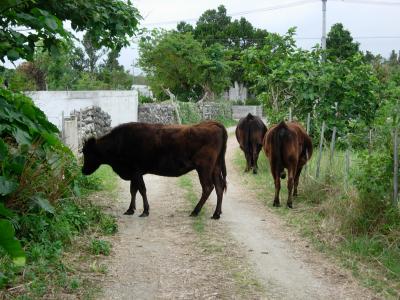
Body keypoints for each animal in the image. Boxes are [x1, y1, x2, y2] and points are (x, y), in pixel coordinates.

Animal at [80, 120, 228, 219]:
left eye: (87, 152)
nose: (83, 170)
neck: (119, 143)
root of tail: (212, 124)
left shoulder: (136, 171)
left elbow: (141, 190)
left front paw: (145, 211)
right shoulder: (134, 174)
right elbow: (133, 190)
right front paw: (130, 209)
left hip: (204, 168)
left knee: (208, 187)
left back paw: (195, 211)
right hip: (215, 168)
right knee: (219, 187)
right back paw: (216, 213)